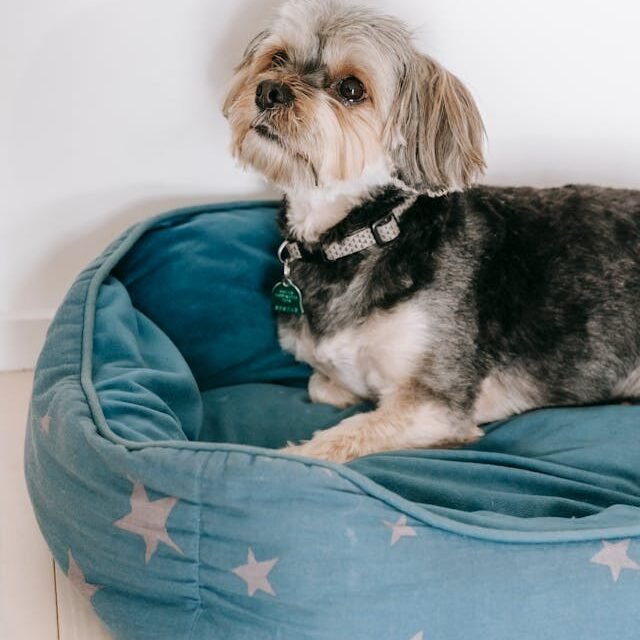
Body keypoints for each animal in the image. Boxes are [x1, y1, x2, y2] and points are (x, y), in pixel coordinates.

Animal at [222, 0, 640, 460]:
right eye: (277, 58)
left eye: (351, 89)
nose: (268, 91)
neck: (363, 233)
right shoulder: (331, 377)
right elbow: (322, 385)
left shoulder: (436, 403)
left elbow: (333, 442)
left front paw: (284, 457)